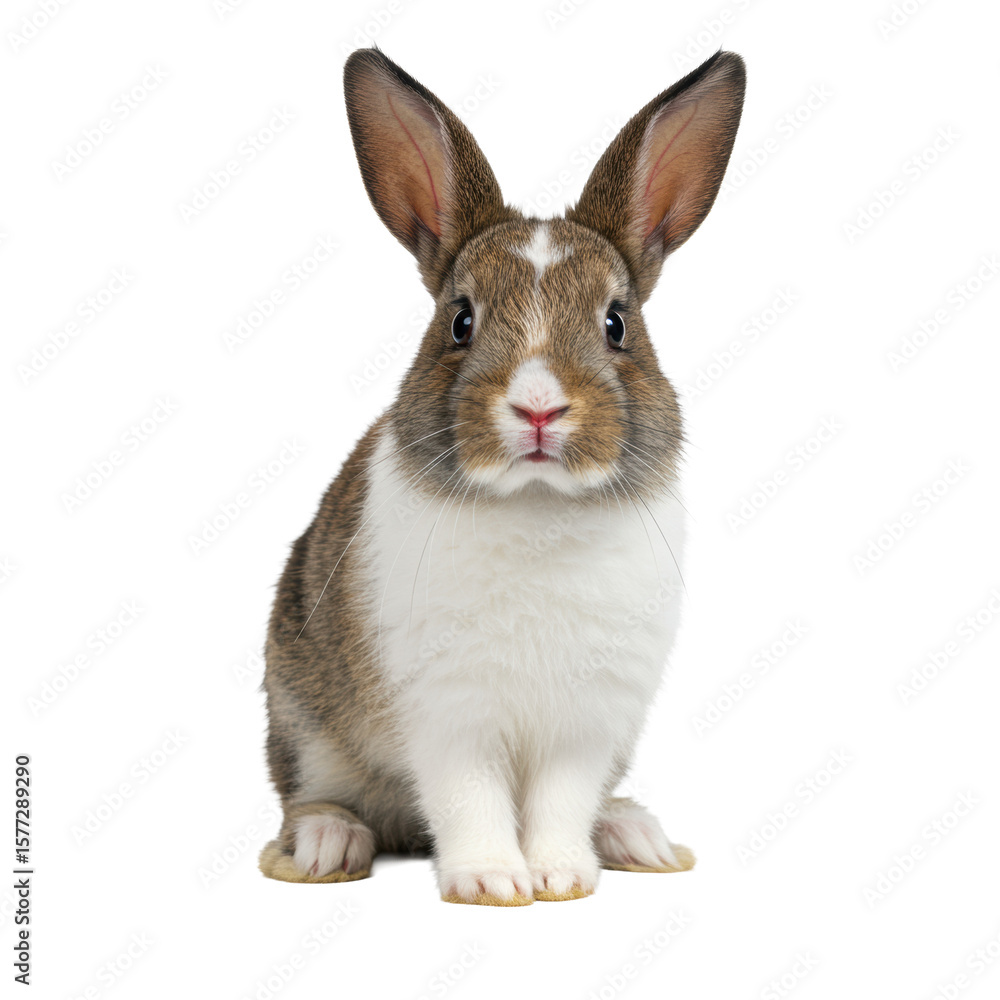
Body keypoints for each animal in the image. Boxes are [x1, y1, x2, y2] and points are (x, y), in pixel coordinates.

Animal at [258, 46, 745, 905]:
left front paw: (558, 876)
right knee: (313, 795)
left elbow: (560, 800)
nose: (540, 408)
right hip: (303, 717)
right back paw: (324, 846)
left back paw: (634, 835)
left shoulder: (587, 724)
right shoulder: (450, 715)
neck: (539, 503)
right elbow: (470, 796)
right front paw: (492, 883)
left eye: (617, 324)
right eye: (460, 321)